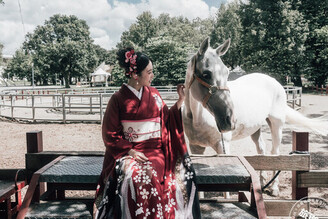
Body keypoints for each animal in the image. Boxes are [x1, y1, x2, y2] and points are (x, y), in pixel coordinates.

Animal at [182, 36, 328, 196]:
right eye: (206, 74)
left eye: (227, 72)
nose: (230, 120)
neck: (196, 117)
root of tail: (275, 82)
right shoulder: (196, 148)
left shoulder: (223, 146)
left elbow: (226, 192)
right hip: (256, 128)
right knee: (261, 151)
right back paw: (262, 183)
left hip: (276, 125)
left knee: (275, 153)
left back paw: (274, 188)